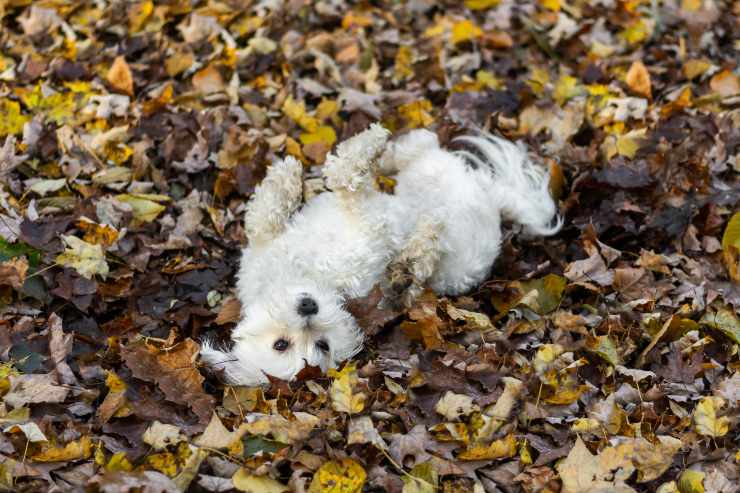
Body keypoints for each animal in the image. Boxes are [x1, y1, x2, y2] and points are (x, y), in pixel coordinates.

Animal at [199, 124, 556, 384]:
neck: (308, 274)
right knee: (423, 165)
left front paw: (286, 176)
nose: (308, 307)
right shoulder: (368, 232)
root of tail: (493, 202)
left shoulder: (275, 243)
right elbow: (343, 182)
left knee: (416, 149)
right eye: (283, 345)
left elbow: (268, 212)